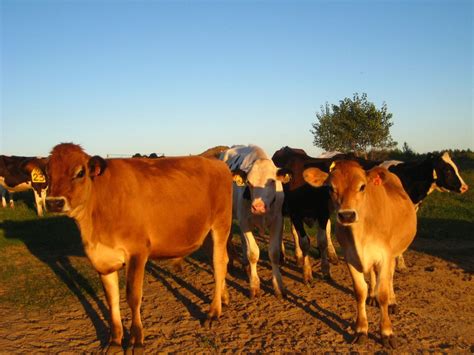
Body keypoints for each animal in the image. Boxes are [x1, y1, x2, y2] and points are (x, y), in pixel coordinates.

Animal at [43, 143, 232, 354]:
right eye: (47, 173)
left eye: (80, 172)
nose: (53, 202)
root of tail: (215, 161)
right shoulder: (102, 259)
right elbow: (112, 299)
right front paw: (115, 341)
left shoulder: (137, 252)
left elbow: (133, 297)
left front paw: (136, 340)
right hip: (205, 233)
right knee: (220, 261)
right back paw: (223, 298)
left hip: (221, 224)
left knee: (219, 263)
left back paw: (214, 313)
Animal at [220, 146, 290, 298]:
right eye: (249, 183)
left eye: (272, 181)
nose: (258, 207)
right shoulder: (245, 221)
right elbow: (253, 253)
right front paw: (254, 286)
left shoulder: (278, 220)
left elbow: (274, 253)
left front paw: (278, 286)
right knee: (230, 239)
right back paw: (233, 263)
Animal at [306, 162, 416, 350]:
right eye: (330, 188)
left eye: (362, 186)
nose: (347, 215)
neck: (361, 234)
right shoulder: (350, 257)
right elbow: (360, 291)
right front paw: (361, 329)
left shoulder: (384, 256)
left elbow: (383, 293)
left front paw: (386, 332)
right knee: (371, 275)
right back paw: (371, 296)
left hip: (394, 252)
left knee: (390, 277)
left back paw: (392, 301)